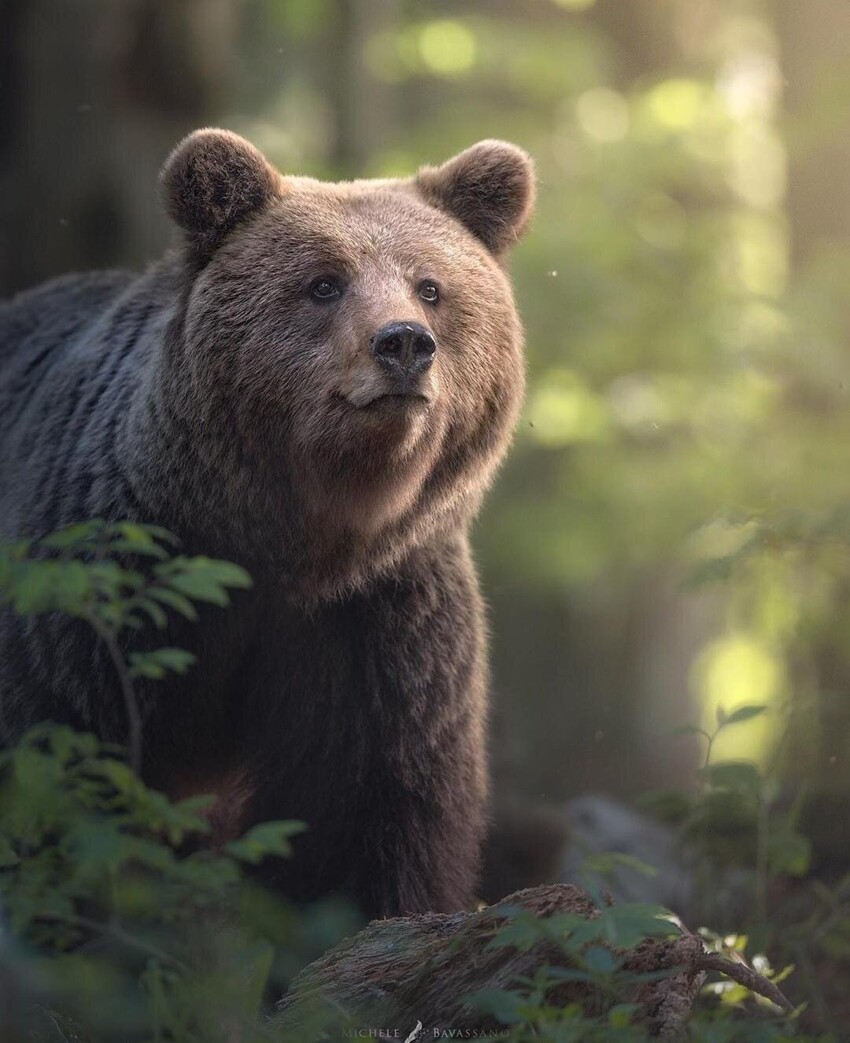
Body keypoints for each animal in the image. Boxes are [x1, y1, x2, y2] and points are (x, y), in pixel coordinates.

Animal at [0, 128, 531, 913]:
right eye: (324, 283)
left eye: (431, 286)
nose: (404, 343)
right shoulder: (110, 590)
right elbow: (69, 762)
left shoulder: (378, 623)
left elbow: (368, 812)